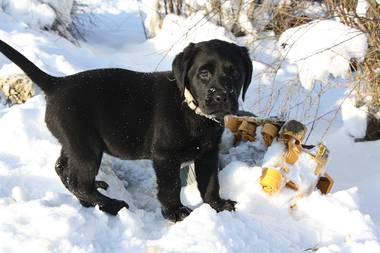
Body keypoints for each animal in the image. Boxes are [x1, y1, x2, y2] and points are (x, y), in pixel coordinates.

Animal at [0, 39, 252, 221]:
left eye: (235, 73)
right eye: (203, 73)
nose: (221, 97)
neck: (194, 111)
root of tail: (57, 84)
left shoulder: (208, 153)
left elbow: (210, 182)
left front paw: (217, 205)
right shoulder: (165, 156)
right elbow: (170, 187)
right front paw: (175, 212)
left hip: (74, 142)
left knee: (64, 170)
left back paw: (92, 198)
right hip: (87, 148)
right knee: (79, 182)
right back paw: (111, 205)